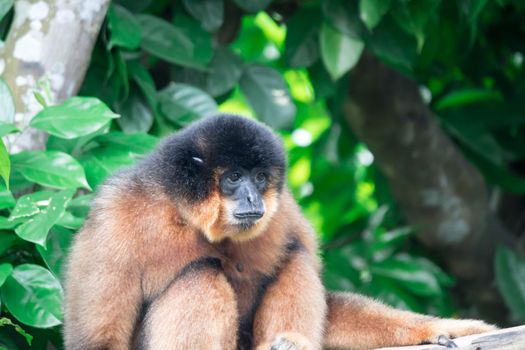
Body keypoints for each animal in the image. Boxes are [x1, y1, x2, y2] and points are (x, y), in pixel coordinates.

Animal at [62, 113, 496, 348]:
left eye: (259, 177)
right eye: (234, 178)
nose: (253, 197)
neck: (186, 217)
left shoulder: (284, 211)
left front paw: (438, 329)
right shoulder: (115, 218)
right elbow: (97, 340)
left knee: (294, 256)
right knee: (199, 273)